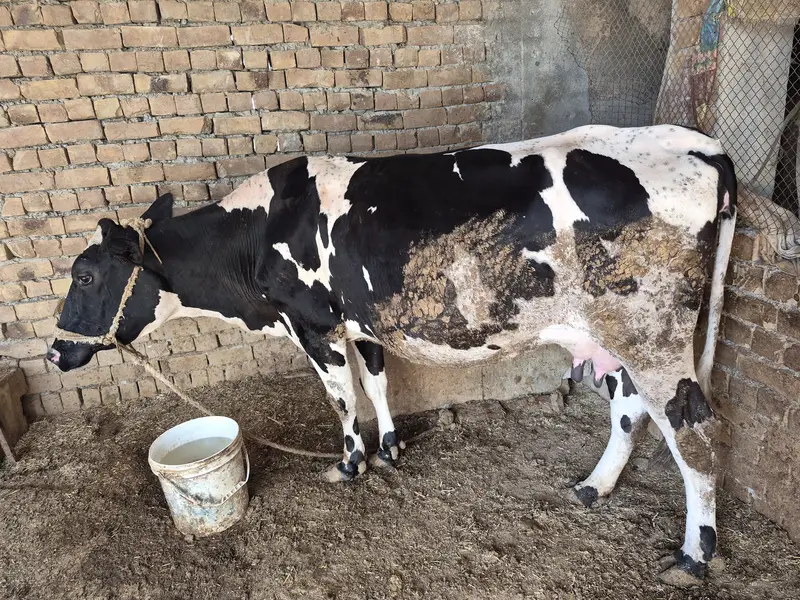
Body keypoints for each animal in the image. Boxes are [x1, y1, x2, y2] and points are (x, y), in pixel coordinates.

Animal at [48, 124, 736, 581]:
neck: (259, 235)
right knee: (629, 409)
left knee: (694, 434)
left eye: (84, 276)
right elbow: (377, 384)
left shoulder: (314, 326)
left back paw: (692, 556)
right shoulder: (364, 324)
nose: (54, 352)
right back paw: (594, 487)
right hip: (614, 338)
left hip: (652, 333)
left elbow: (342, 399)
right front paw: (389, 450)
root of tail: (697, 144)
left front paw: (349, 464)